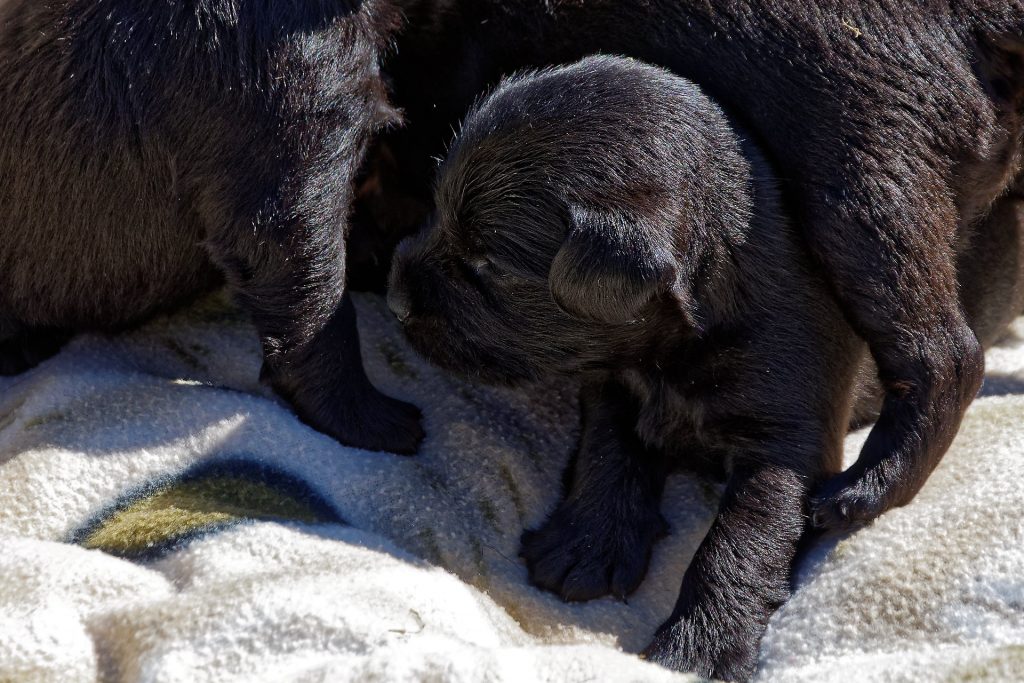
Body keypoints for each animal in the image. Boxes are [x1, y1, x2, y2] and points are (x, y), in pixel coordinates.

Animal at [385, 57, 1024, 683]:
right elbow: (607, 452)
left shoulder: (787, 443)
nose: (394, 299)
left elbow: (741, 538)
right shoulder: (614, 382)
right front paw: (588, 545)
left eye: (485, 264)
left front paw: (701, 645)